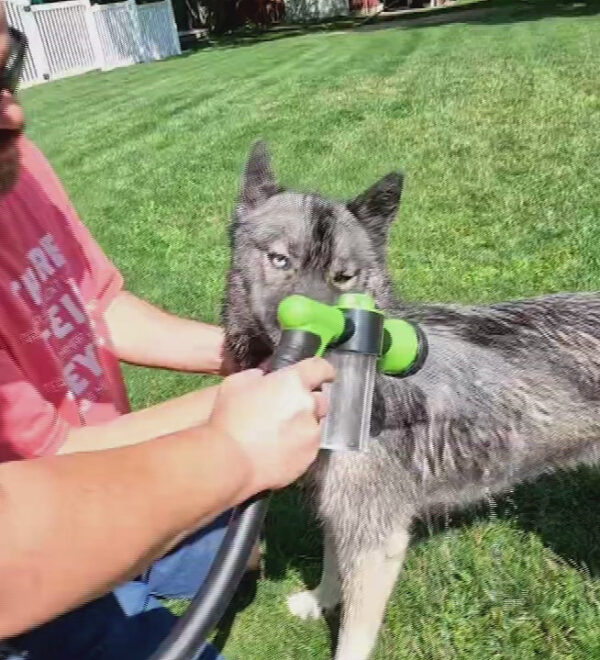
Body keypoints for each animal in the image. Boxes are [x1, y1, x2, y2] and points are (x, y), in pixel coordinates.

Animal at [220, 142, 600, 656]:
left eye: (344, 277)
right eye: (280, 260)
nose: (315, 336)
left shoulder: (378, 538)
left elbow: (354, 634)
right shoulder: (340, 510)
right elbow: (334, 565)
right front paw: (321, 600)